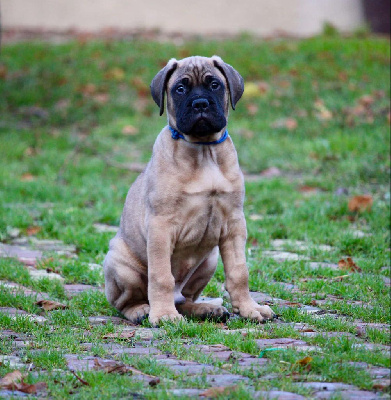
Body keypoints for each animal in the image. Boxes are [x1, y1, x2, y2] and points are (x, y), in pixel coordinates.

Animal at [104, 56, 276, 324]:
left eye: (215, 85)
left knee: (184, 299)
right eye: (180, 89)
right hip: (121, 265)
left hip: (209, 261)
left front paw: (250, 308)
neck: (204, 150)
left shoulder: (234, 223)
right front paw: (163, 315)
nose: (200, 103)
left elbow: (239, 272)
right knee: (125, 302)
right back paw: (143, 310)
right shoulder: (161, 226)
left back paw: (206, 309)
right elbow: (161, 276)